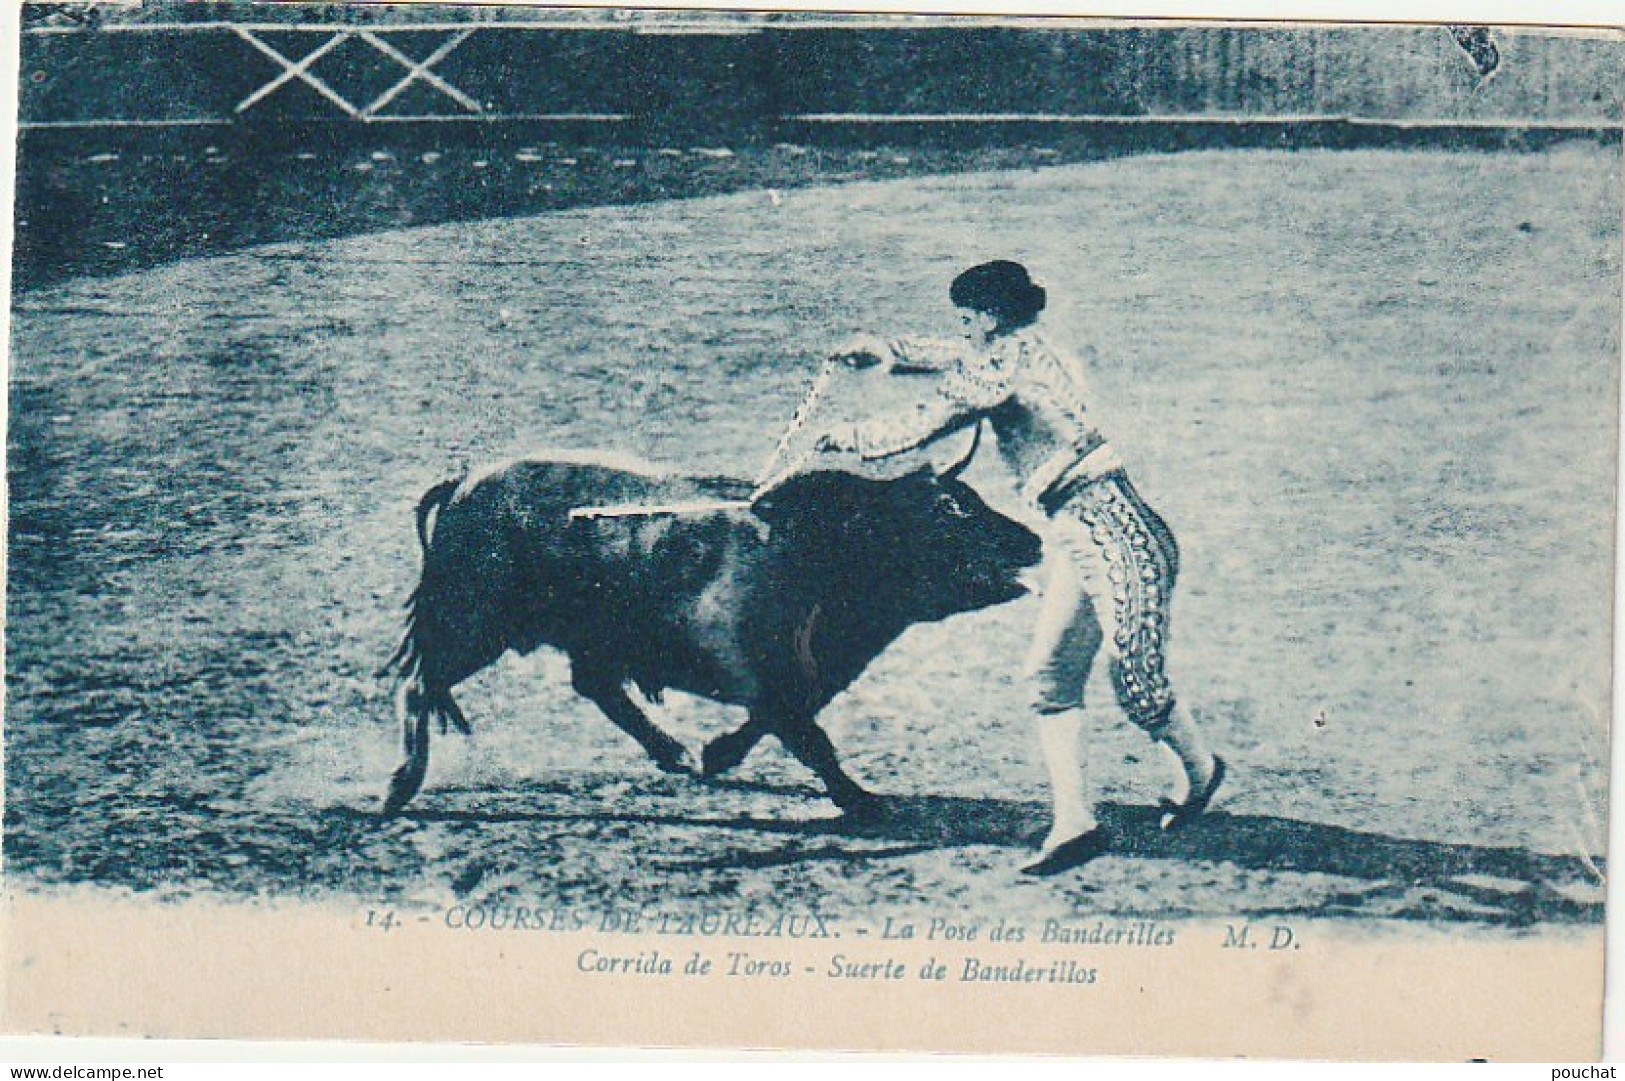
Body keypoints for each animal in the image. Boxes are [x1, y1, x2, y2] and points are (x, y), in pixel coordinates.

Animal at [378, 451, 1040, 812]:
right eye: (951, 510)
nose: (1031, 540)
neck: (816, 545)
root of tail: (464, 484)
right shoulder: (770, 668)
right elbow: (806, 733)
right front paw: (858, 799)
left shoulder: (796, 674)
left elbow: (786, 719)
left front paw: (716, 754)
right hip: (470, 622)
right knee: (418, 684)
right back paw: (401, 785)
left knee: (597, 687)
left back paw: (671, 752)